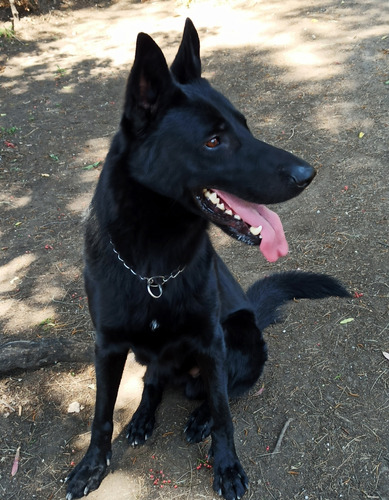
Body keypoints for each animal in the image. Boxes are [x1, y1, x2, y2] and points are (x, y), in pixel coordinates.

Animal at [65, 19, 348, 500]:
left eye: (246, 127)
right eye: (214, 141)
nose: (307, 175)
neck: (153, 268)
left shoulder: (211, 341)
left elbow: (223, 415)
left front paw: (227, 466)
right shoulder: (108, 346)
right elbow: (101, 416)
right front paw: (91, 467)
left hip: (242, 335)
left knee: (225, 392)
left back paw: (197, 418)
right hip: (148, 355)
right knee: (154, 382)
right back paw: (142, 417)